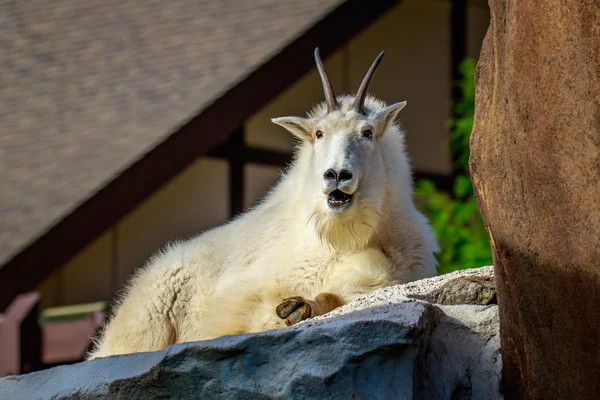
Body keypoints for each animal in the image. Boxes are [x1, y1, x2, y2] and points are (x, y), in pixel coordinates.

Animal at [86, 47, 438, 360]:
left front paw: (298, 308)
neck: (347, 237)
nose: (337, 175)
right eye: (319, 133)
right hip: (145, 323)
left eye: (367, 132)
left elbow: (334, 296)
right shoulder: (250, 291)